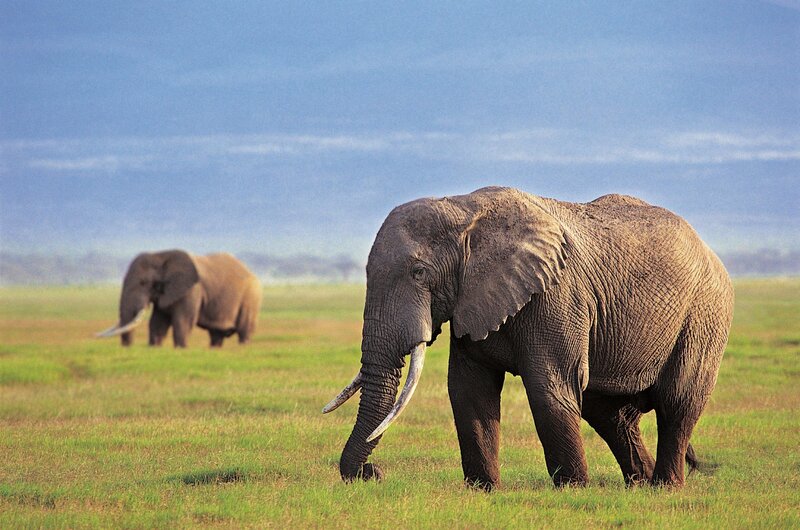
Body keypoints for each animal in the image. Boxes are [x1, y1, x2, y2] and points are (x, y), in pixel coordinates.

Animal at [96, 250, 262, 348]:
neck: (161, 255)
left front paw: (181, 349)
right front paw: (155, 348)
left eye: (143, 283)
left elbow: (183, 321)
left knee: (244, 331)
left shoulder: (192, 290)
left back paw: (243, 347)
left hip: (250, 298)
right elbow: (157, 323)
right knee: (216, 335)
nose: (127, 347)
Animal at [324, 186, 733, 490]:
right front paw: (484, 490)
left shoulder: (557, 295)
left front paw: (572, 490)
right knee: (609, 413)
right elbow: (468, 390)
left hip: (705, 314)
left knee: (678, 402)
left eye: (419, 273)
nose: (372, 474)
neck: (463, 210)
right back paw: (640, 484)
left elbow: (548, 387)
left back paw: (665, 486)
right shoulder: (473, 298)